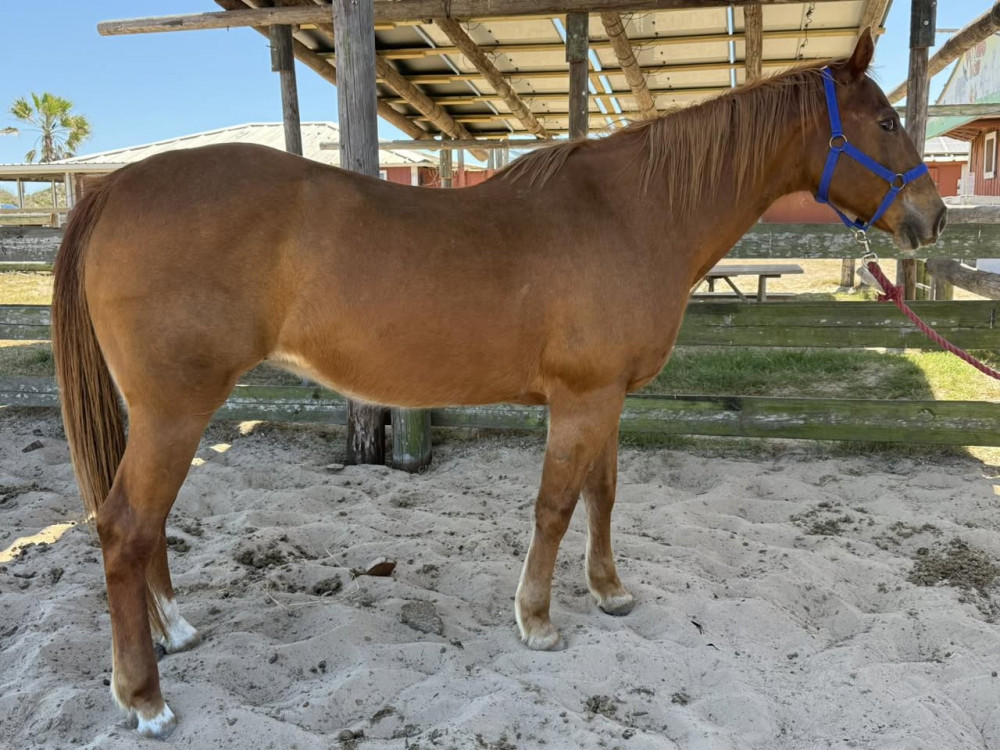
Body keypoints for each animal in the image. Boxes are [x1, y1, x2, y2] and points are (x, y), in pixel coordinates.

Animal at [51, 29, 944, 738]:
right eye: (887, 121)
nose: (932, 218)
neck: (631, 215)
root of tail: (116, 186)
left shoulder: (607, 399)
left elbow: (602, 494)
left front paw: (609, 592)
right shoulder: (581, 399)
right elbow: (555, 505)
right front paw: (539, 621)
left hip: (157, 412)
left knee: (147, 526)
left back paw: (174, 632)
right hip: (176, 408)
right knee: (126, 527)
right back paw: (145, 698)